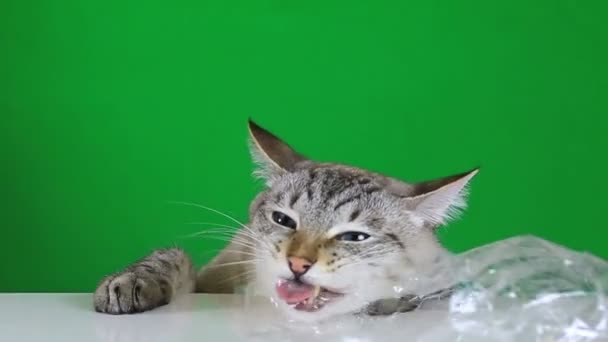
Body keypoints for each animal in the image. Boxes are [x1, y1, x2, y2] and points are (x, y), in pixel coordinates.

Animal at [92, 119, 478, 320]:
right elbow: (172, 257)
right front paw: (130, 283)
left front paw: (391, 302)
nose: (297, 263)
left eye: (354, 237)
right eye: (283, 220)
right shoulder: (211, 277)